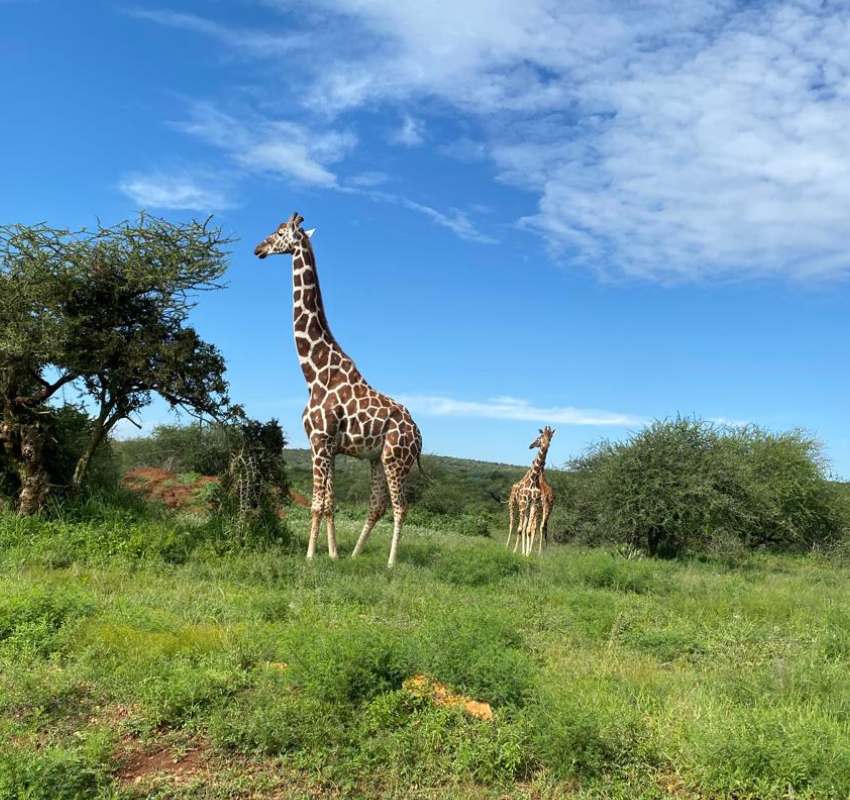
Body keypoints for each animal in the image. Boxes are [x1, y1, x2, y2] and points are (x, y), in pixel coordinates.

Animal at [254, 212, 423, 568]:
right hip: (376, 459)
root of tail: (419, 435)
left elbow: (319, 502)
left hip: (396, 459)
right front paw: (332, 553)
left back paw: (390, 563)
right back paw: (356, 554)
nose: (258, 248)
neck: (313, 373)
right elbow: (329, 500)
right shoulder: (325, 446)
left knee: (401, 507)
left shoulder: (320, 440)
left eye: (279, 231)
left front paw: (310, 556)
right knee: (378, 505)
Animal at [505, 427, 555, 556]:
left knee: (532, 527)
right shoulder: (523, 503)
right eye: (540, 436)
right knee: (512, 524)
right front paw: (516, 551)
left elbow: (527, 530)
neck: (535, 477)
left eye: (550, 437)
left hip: (531, 508)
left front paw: (527, 554)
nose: (531, 445)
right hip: (513, 504)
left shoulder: (534, 503)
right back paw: (507, 547)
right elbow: (520, 529)